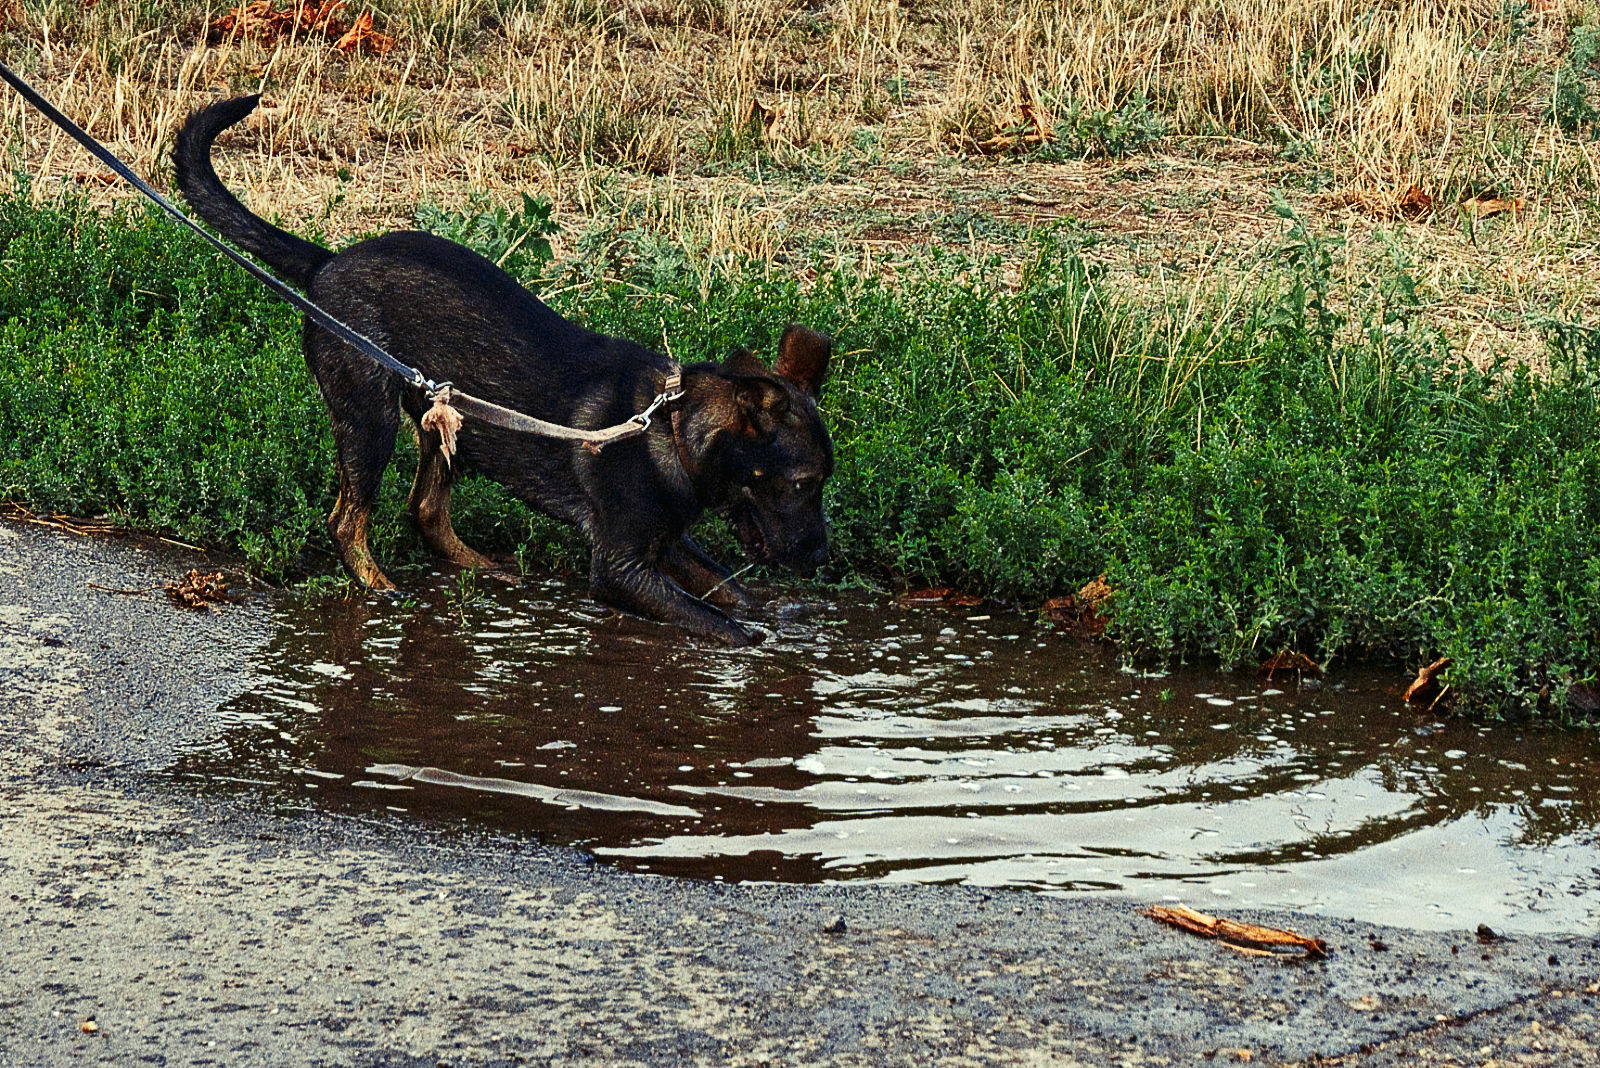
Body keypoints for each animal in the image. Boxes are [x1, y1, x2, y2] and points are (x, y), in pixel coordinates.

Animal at [172, 95, 838, 642]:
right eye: (803, 483)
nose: (821, 560)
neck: (671, 430)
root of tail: (326, 262)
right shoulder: (618, 567)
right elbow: (723, 624)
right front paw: (762, 640)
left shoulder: (667, 543)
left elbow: (734, 592)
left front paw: (782, 614)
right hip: (368, 418)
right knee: (347, 521)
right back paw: (381, 591)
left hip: (449, 419)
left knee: (425, 511)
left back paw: (482, 569)